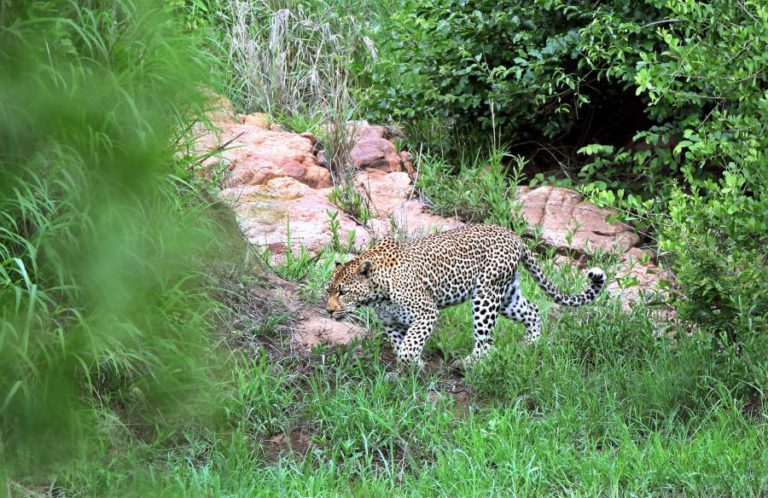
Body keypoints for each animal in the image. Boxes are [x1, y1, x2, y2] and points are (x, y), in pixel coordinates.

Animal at [324, 224, 608, 368]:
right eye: (329, 290)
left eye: (343, 292)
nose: (328, 310)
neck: (378, 294)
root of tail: (515, 236)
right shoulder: (392, 323)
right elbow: (400, 346)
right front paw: (412, 368)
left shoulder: (426, 312)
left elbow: (409, 345)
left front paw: (413, 363)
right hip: (506, 296)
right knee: (533, 311)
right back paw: (531, 344)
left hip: (485, 295)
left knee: (487, 341)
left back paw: (469, 363)